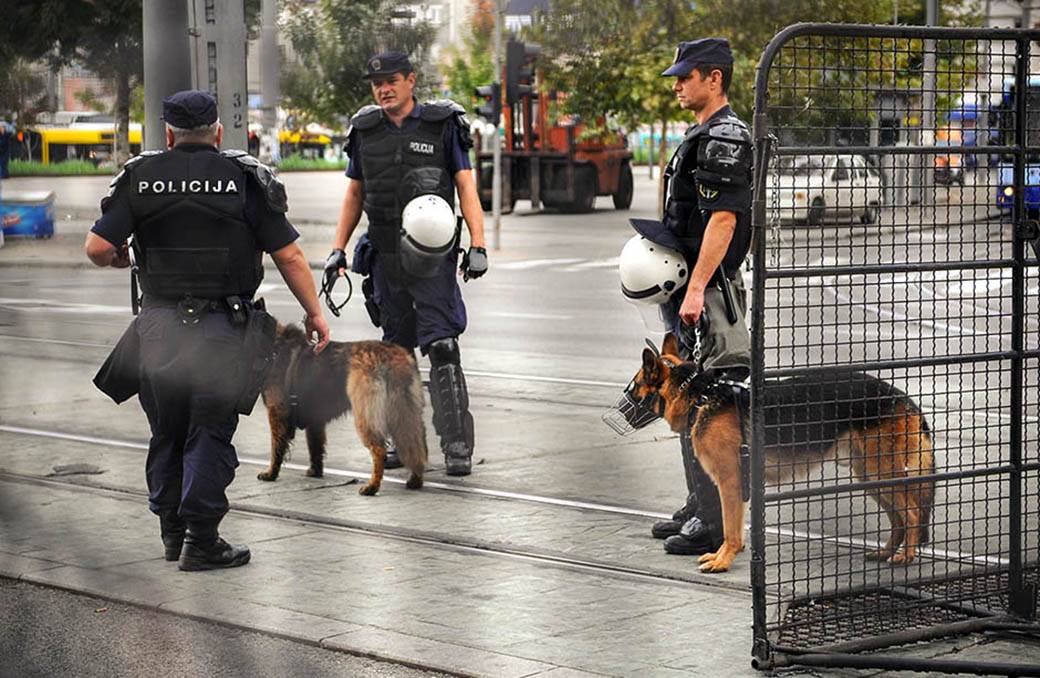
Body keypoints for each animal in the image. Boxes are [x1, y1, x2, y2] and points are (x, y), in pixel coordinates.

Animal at [255, 322, 426, 492]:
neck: (274, 346)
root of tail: (390, 356)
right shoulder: (315, 421)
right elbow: (315, 447)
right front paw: (315, 471)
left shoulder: (277, 414)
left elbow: (276, 448)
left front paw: (271, 473)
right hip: (406, 414)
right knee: (415, 448)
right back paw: (415, 481)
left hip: (365, 417)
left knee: (380, 451)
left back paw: (372, 486)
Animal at [619, 332, 940, 574]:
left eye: (633, 387)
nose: (620, 411)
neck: (699, 396)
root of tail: (903, 397)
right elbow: (732, 527)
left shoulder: (730, 483)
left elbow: (730, 529)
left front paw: (723, 561)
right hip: (870, 477)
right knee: (898, 518)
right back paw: (886, 551)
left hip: (880, 473)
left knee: (912, 513)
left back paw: (905, 556)